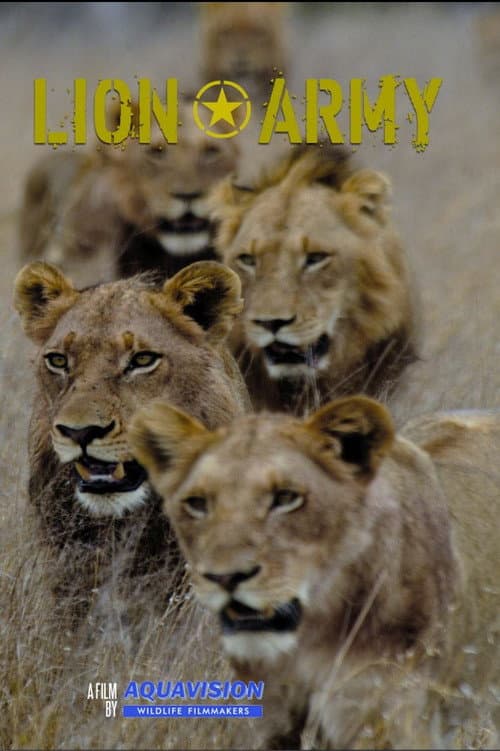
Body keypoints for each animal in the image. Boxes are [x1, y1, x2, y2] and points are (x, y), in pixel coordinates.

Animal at [130, 397, 500, 749]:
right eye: (197, 503)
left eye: (286, 498)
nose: (225, 578)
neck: (311, 636)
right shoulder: (266, 716)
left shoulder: (381, 719)